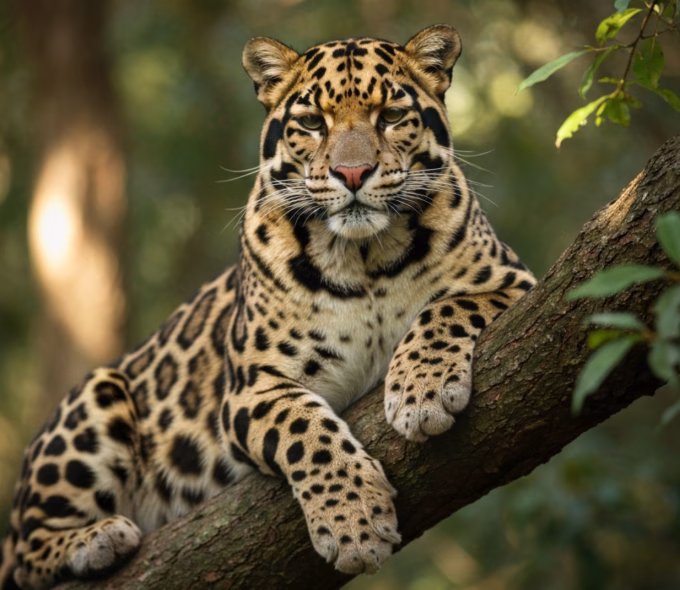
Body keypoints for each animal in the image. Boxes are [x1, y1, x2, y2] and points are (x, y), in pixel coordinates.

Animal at [0, 24, 535, 589]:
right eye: (312, 123)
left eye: (391, 116)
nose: (352, 173)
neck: (365, 258)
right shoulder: (252, 386)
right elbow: (306, 431)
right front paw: (354, 524)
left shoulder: (515, 281)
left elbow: (446, 308)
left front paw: (420, 393)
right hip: (99, 395)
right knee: (23, 551)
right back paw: (97, 538)